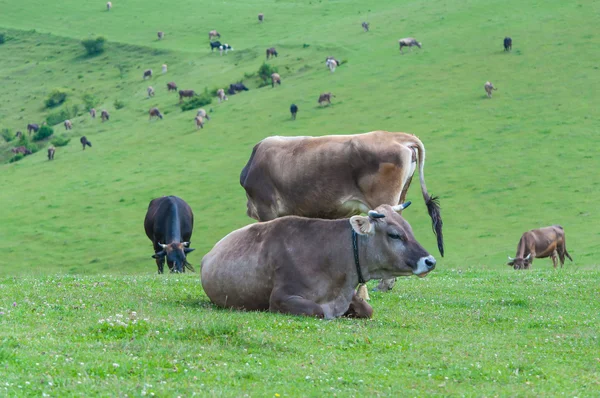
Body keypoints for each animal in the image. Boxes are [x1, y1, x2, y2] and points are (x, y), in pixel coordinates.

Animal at [202, 204, 436, 318]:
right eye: (395, 235)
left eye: (409, 229)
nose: (430, 261)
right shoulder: (280, 298)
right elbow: (318, 310)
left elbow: (368, 310)